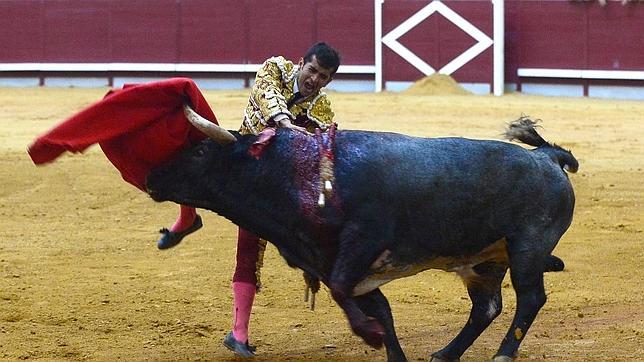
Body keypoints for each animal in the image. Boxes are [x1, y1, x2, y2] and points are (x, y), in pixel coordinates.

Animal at [146, 111, 580, 360]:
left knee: (530, 299)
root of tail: (546, 157)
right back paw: (445, 353)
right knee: (487, 307)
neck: (294, 172)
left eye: (201, 151)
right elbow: (378, 308)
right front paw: (390, 348)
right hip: (483, 262)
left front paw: (370, 337)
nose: (151, 177)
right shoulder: (332, 261)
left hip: (527, 249)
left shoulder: (361, 243)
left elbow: (347, 293)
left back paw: (503, 354)